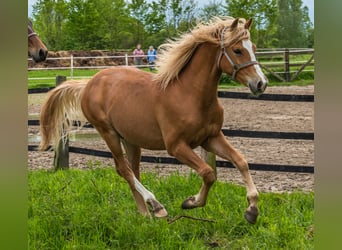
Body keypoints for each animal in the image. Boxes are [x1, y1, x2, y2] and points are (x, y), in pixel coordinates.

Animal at [38, 18, 268, 225]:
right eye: (237, 50)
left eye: (254, 48)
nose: (261, 83)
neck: (190, 95)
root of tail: (88, 84)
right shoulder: (176, 146)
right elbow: (208, 172)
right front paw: (190, 202)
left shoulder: (211, 138)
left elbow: (241, 161)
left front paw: (252, 210)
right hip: (108, 132)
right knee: (124, 169)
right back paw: (156, 206)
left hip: (130, 139)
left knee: (132, 170)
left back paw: (146, 214)